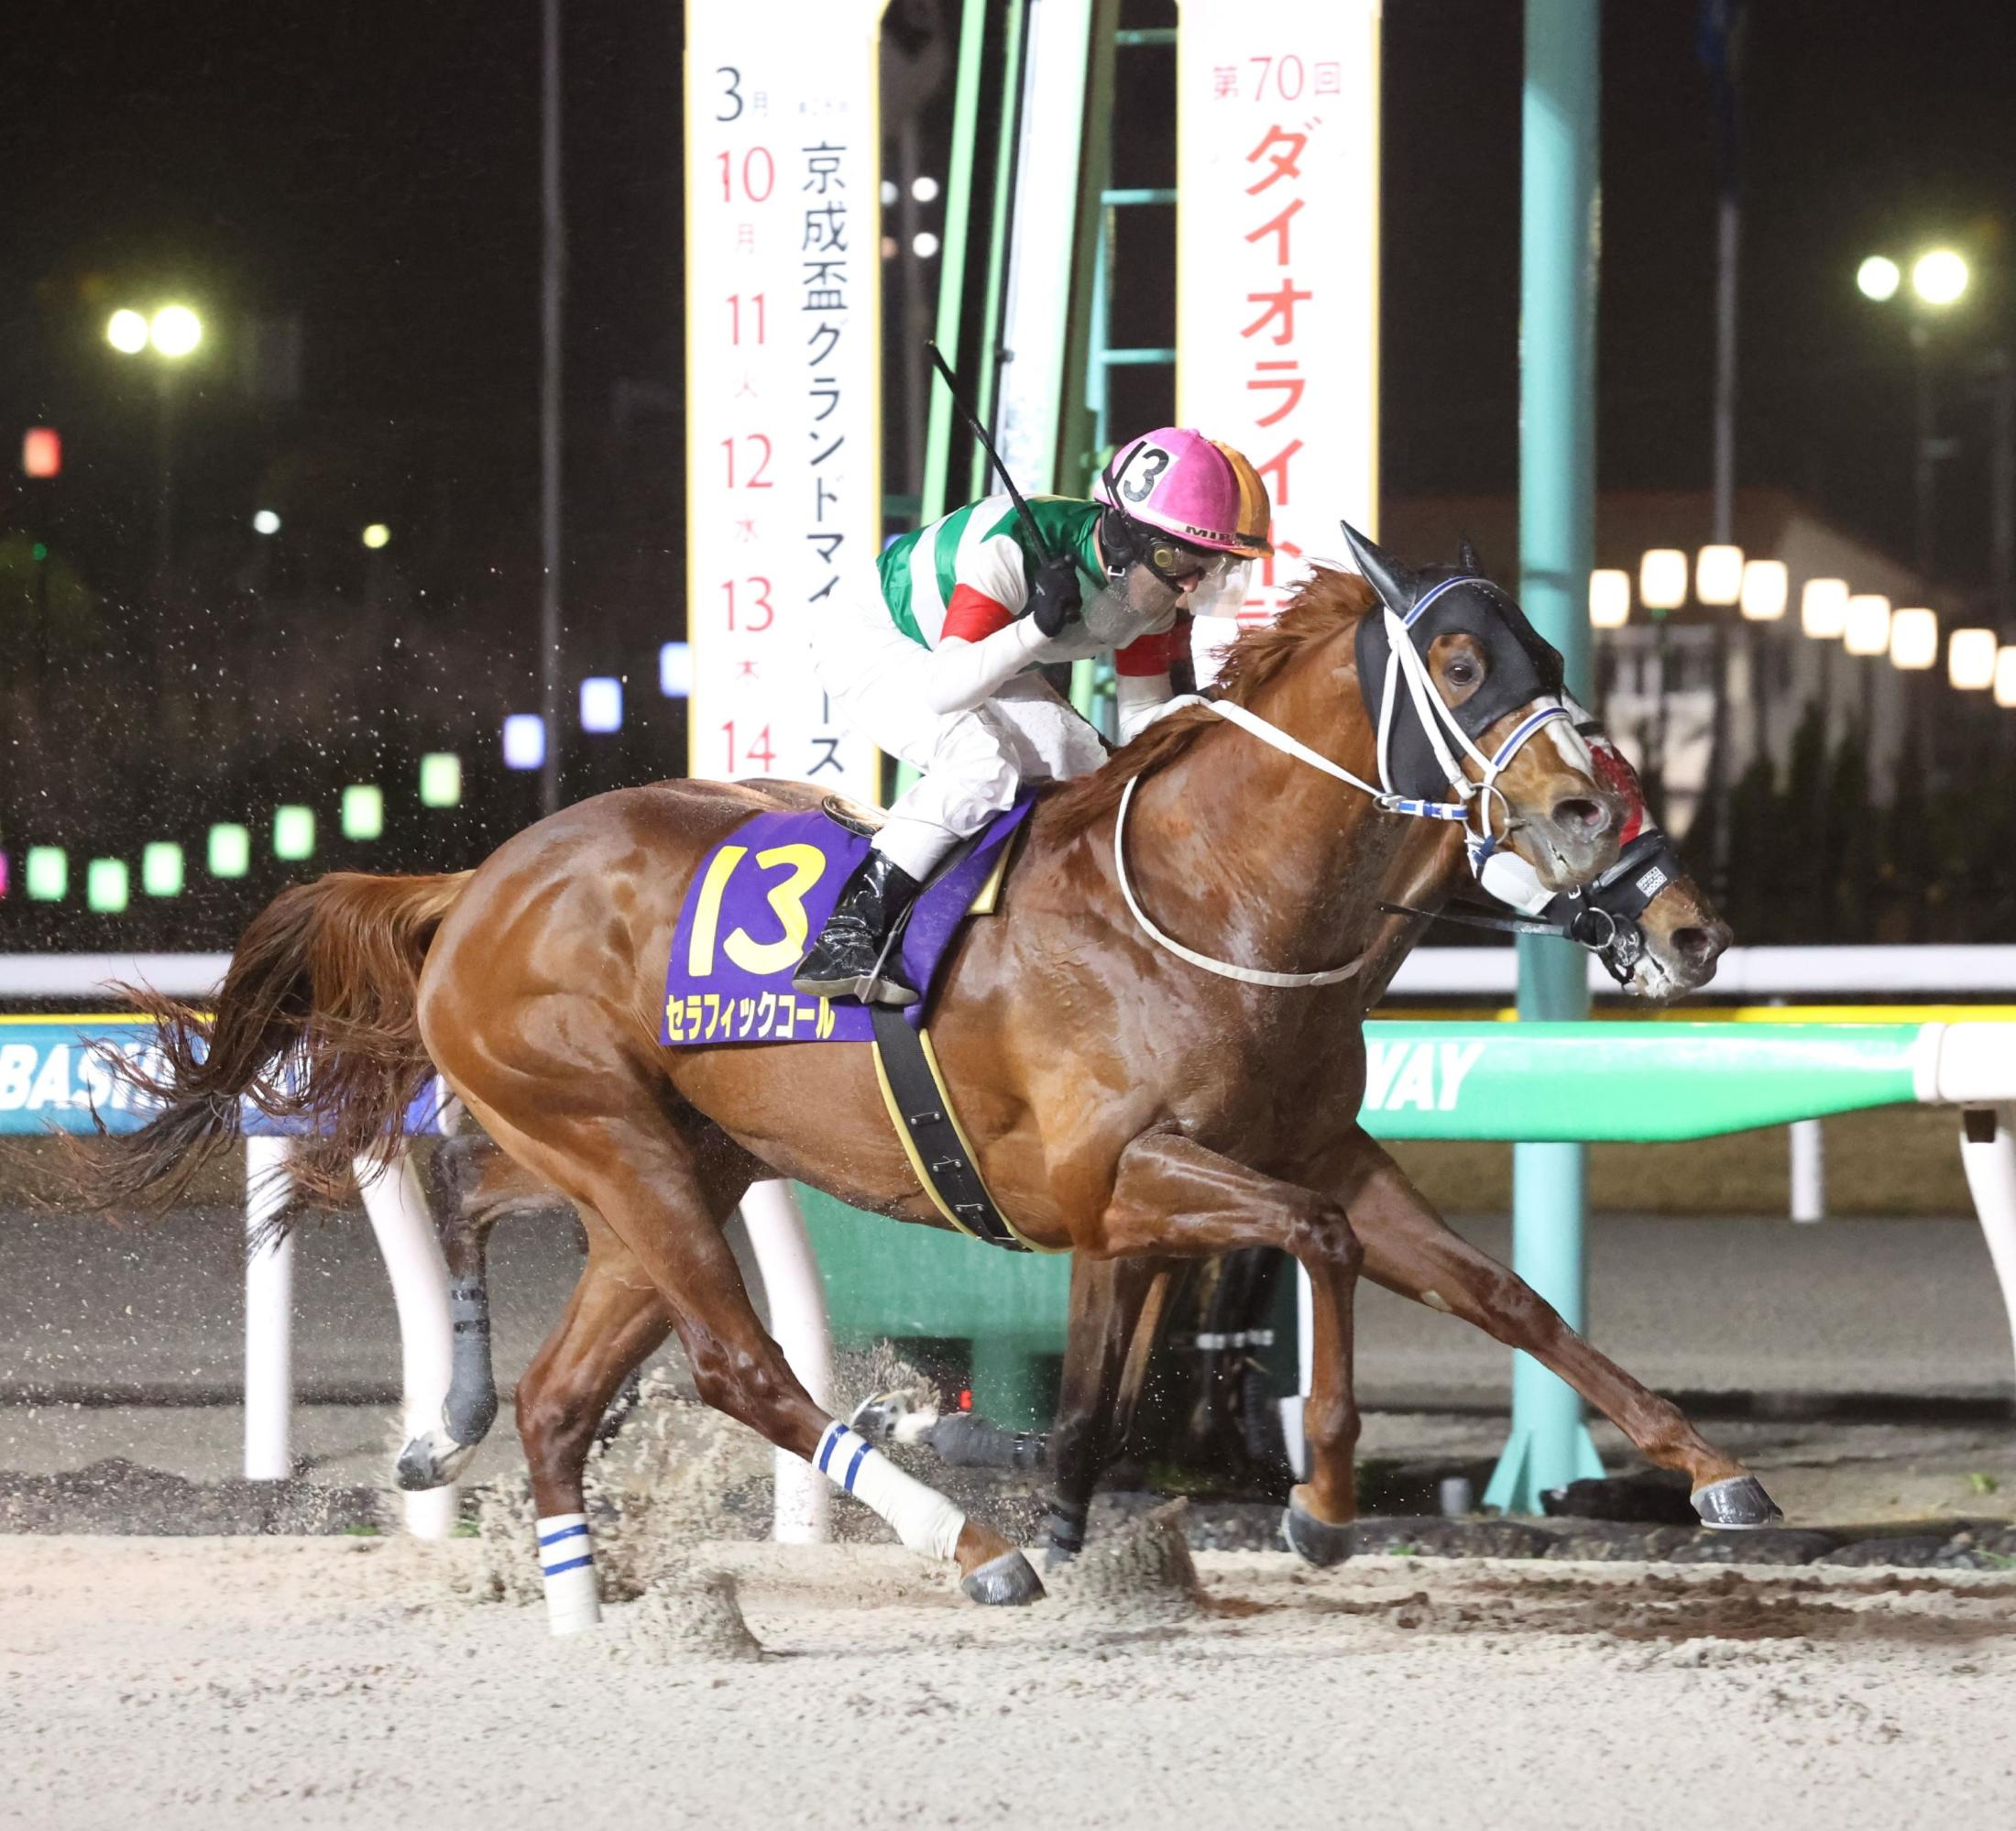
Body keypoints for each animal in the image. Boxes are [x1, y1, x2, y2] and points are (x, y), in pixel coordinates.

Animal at [98, 552, 1653, 1613]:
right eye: (1461, 664)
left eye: (1545, 644)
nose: (1594, 812)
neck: (1206, 903)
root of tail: (475, 883)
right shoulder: (1123, 1180)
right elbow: (1300, 1256)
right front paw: (1318, 1496)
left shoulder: (1306, 1151)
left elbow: (1495, 1293)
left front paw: (1693, 1467)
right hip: (608, 1136)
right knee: (736, 1360)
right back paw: (969, 1548)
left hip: (670, 1163)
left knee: (563, 1388)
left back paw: (571, 1581)